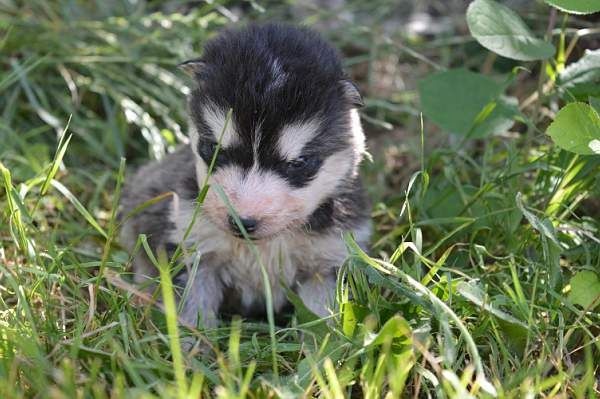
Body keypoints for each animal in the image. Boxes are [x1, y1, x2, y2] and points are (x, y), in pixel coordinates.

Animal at [118, 22, 370, 328]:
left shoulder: (327, 261)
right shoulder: (194, 248)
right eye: (213, 148)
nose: (241, 222)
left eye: (299, 163)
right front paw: (191, 340)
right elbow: (191, 308)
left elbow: (321, 320)